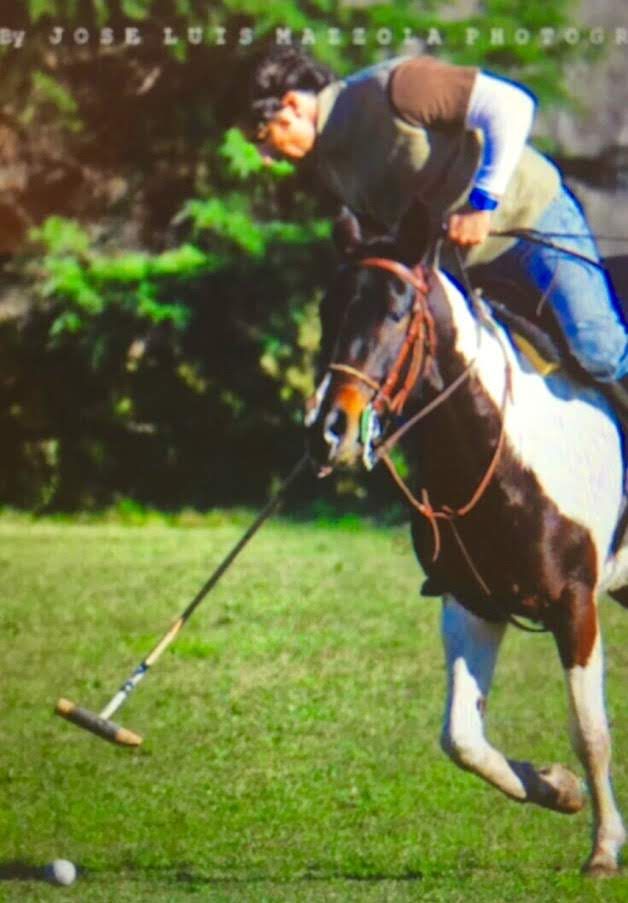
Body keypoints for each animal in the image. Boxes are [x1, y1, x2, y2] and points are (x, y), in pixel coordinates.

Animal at [306, 210, 627, 876]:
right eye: (327, 308)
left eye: (397, 312)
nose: (330, 431)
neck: (502, 450)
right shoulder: (471, 603)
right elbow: (461, 738)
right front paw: (556, 787)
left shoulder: (574, 605)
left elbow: (590, 730)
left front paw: (605, 846)